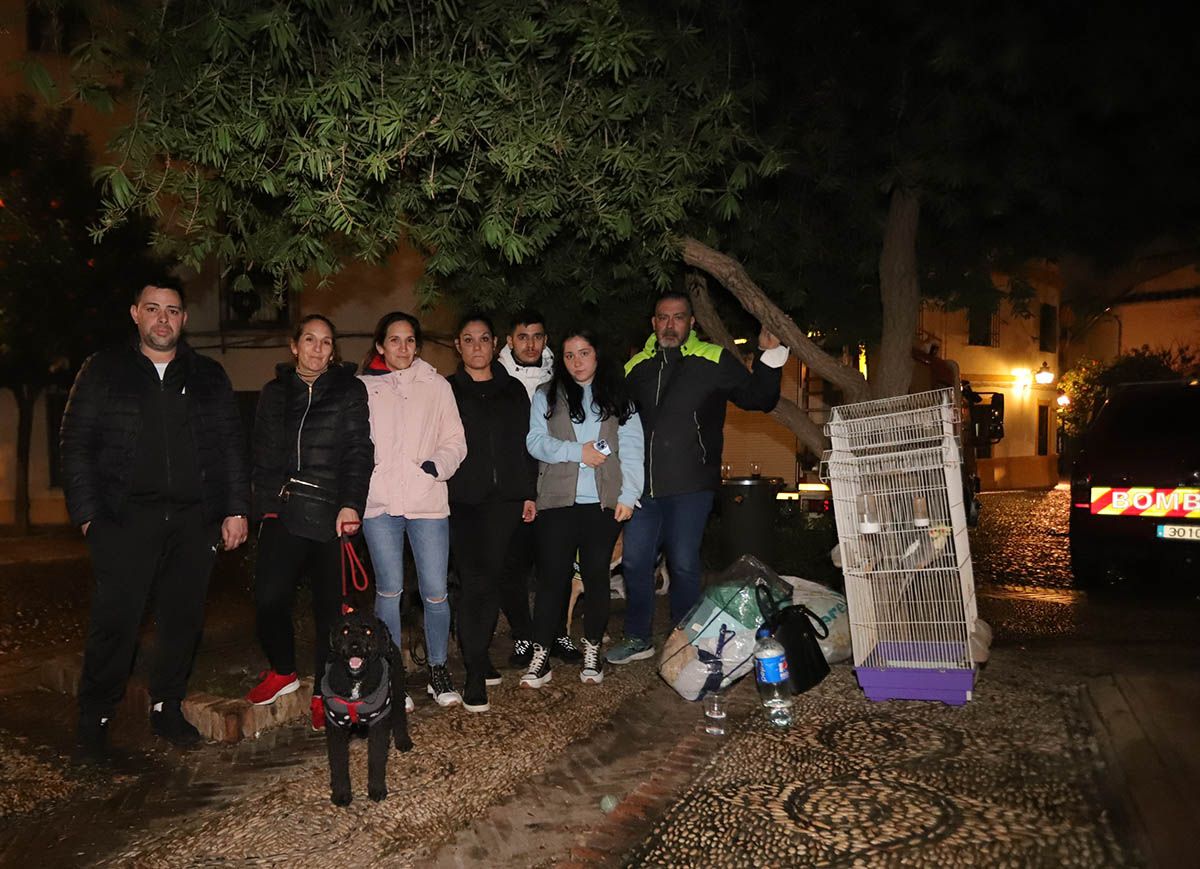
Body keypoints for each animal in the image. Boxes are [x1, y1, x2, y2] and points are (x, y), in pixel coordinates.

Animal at [324, 607, 412, 806]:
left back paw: (403, 741)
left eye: (368, 631)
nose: (355, 645)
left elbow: (376, 759)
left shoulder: (379, 723)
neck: (356, 682)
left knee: (399, 716)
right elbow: (338, 763)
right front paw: (341, 793)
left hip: (397, 690)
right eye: (345, 631)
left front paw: (376, 789)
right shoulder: (335, 727)